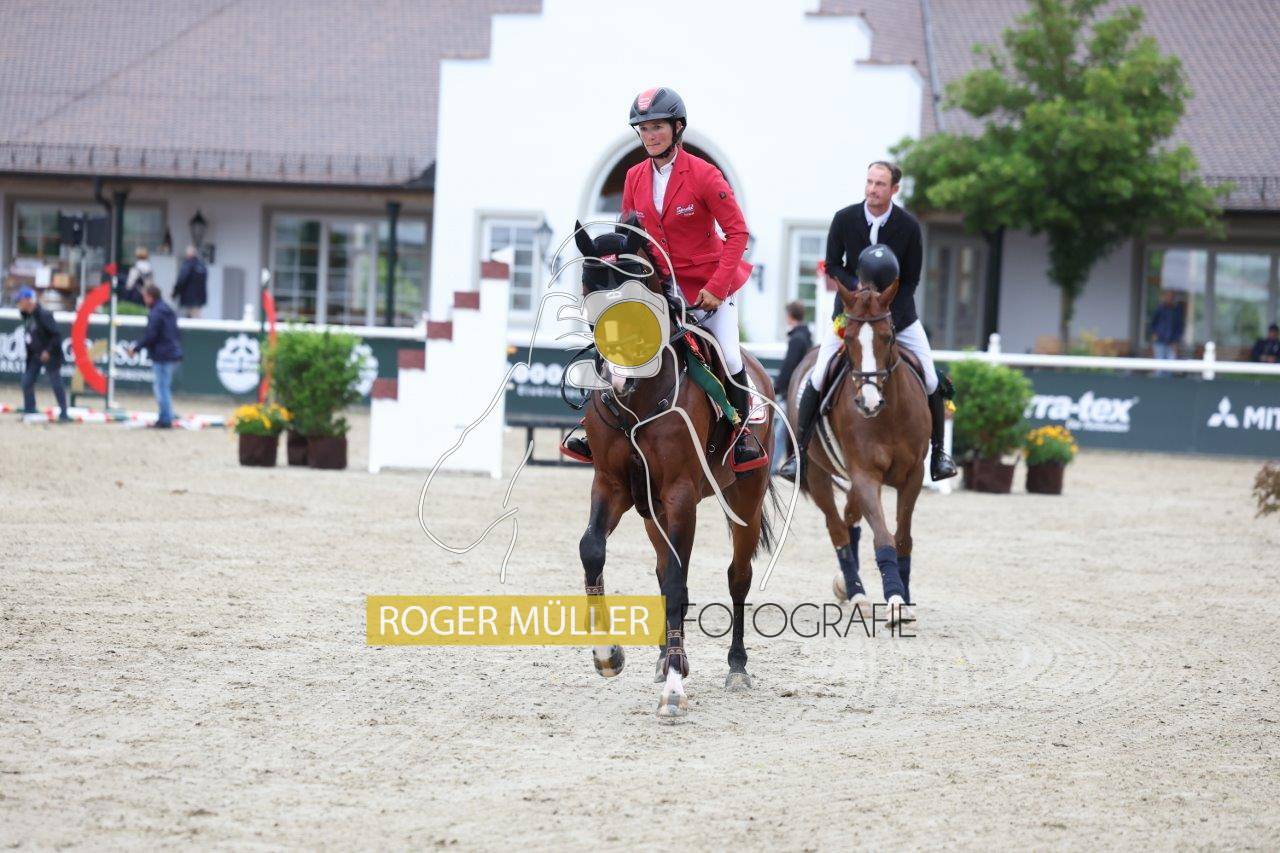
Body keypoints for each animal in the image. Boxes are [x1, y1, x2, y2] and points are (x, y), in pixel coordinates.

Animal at [570, 221, 782, 722]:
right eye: (590, 290)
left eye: (638, 292)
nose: (618, 376)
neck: (638, 398)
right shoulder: (612, 486)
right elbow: (593, 550)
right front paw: (608, 655)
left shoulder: (681, 496)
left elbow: (679, 581)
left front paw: (673, 689)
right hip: (652, 512)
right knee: (664, 565)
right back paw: (670, 657)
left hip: (743, 501)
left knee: (737, 576)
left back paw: (735, 667)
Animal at [786, 278, 930, 627]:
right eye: (849, 339)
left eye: (888, 336)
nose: (868, 403)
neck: (889, 415)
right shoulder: (865, 475)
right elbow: (883, 537)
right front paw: (894, 600)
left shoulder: (913, 476)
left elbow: (902, 537)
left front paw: (904, 597)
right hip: (819, 474)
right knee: (837, 528)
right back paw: (857, 593)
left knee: (850, 517)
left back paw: (848, 586)